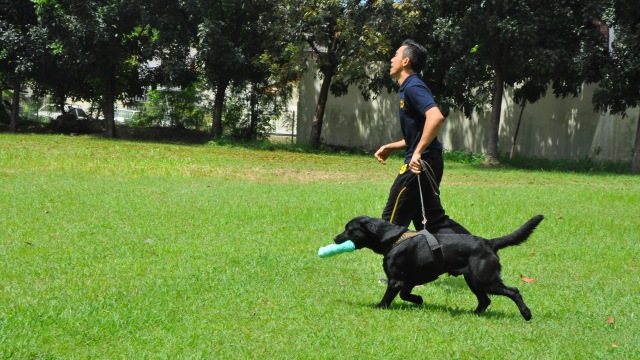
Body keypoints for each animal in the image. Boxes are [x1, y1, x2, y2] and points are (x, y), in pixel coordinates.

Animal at [332, 214, 544, 320]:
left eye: (349, 229)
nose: (334, 238)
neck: (392, 238)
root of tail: (489, 243)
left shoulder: (395, 280)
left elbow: (389, 297)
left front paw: (379, 307)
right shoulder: (408, 280)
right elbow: (405, 294)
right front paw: (418, 299)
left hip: (485, 279)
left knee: (514, 291)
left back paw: (526, 314)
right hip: (474, 280)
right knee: (485, 301)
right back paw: (472, 314)